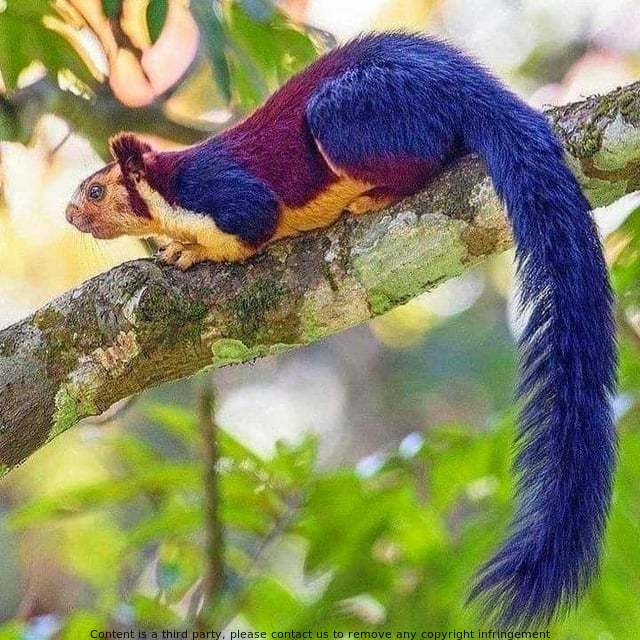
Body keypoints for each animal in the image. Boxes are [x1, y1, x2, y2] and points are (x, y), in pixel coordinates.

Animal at [66, 32, 616, 627]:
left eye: (96, 191)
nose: (70, 215)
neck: (167, 190)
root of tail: (469, 85)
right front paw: (176, 245)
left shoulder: (220, 192)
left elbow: (253, 226)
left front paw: (192, 251)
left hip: (354, 112)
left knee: (423, 157)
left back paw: (372, 195)